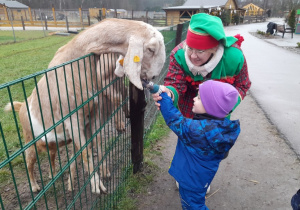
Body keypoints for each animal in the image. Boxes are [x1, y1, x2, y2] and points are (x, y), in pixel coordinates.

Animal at [4, 18, 164, 194]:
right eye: (150, 49)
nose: (153, 77)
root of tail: (21, 107)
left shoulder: (94, 110)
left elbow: (97, 140)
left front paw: (105, 172)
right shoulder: (72, 118)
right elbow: (86, 152)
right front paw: (97, 185)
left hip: (51, 143)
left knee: (51, 155)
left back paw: (54, 176)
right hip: (29, 139)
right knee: (29, 161)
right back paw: (34, 186)